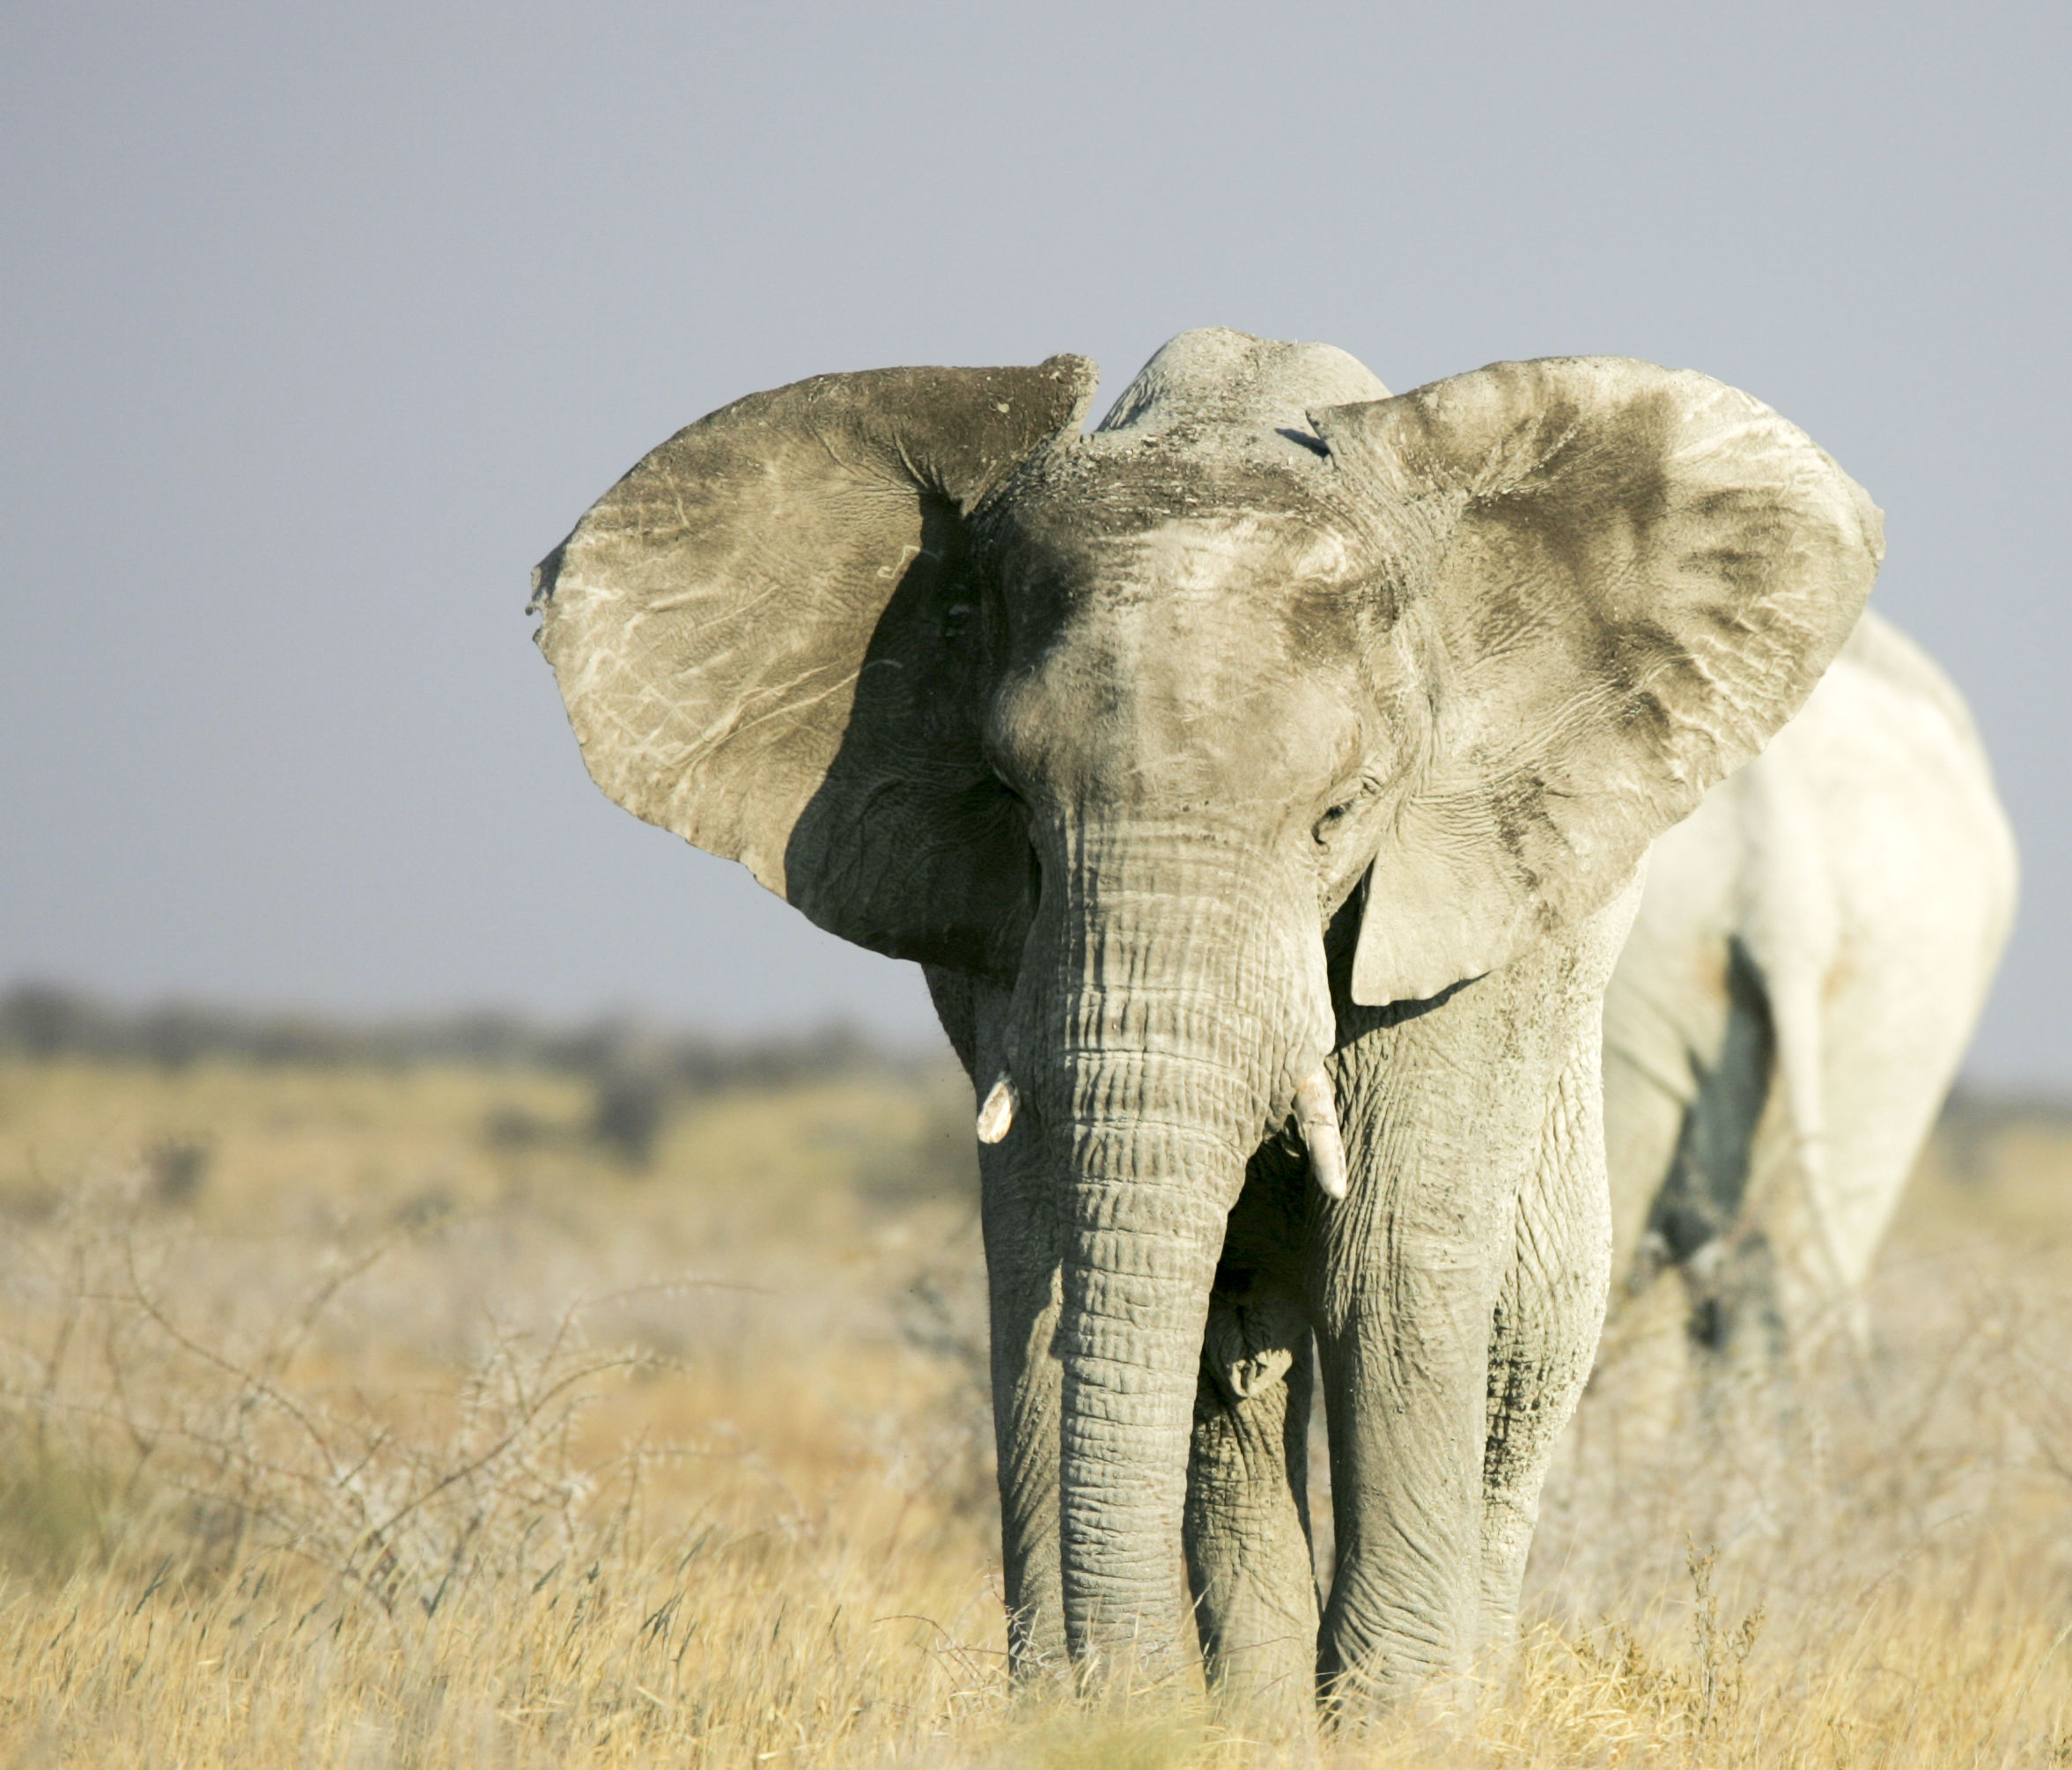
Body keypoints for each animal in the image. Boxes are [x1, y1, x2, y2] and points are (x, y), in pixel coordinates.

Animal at [529, 327, 1880, 1709]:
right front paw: (1090, 1716)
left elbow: (1390, 1247)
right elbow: (1038, 1237)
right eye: (1015, 809)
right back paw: (1264, 1708)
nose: (1119, 1686)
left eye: (1341, 813)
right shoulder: (993, 939)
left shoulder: (1461, 900)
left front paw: (1395, 1724)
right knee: (1239, 1340)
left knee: (1521, 1333)